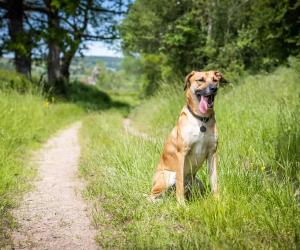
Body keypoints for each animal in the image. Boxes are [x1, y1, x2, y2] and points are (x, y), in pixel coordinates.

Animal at [150, 70, 227, 203]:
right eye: (200, 80)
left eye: (215, 80)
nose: (214, 89)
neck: (201, 119)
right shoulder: (181, 154)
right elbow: (180, 184)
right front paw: (181, 204)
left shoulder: (212, 153)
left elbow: (214, 180)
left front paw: (217, 200)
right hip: (168, 176)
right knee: (152, 196)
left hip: (196, 182)